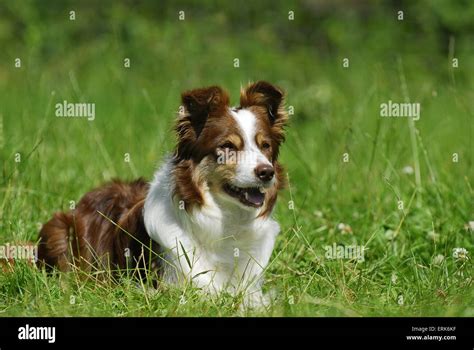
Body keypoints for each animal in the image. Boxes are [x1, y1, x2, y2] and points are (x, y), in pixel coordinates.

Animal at [37, 81, 286, 306]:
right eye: (228, 146)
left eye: (265, 146)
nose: (267, 172)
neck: (226, 220)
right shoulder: (170, 288)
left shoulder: (252, 291)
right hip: (59, 230)